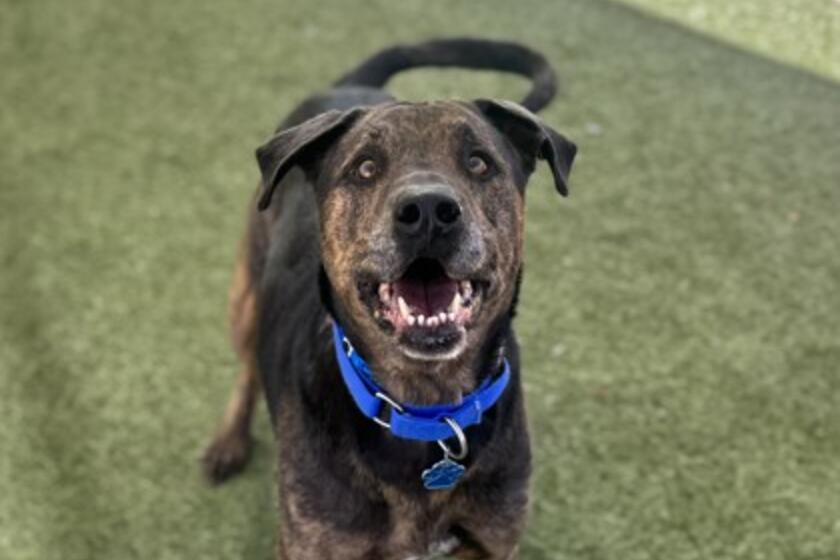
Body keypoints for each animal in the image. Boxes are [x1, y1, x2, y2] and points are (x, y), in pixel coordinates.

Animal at [202, 38, 577, 559]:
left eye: (479, 162)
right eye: (365, 168)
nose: (428, 211)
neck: (427, 410)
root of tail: (352, 85)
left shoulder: (493, 542)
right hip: (247, 292)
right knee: (248, 368)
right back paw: (229, 442)